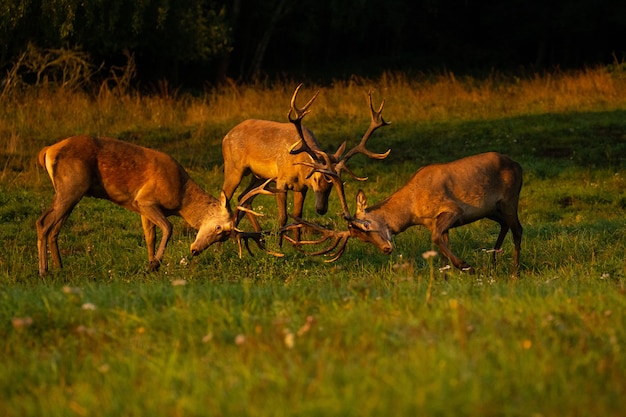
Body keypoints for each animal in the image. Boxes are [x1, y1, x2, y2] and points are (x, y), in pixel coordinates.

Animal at [36, 135, 270, 274]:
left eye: (224, 236)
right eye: (219, 228)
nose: (195, 250)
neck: (180, 198)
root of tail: (47, 150)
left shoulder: (141, 208)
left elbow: (150, 236)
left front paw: (150, 263)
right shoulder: (145, 199)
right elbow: (168, 227)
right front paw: (155, 264)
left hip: (71, 192)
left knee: (52, 226)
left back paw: (59, 267)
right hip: (72, 186)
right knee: (43, 222)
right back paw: (44, 271)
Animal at [218, 83, 386, 244]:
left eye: (333, 185)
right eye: (316, 178)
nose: (321, 209)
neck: (298, 167)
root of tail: (226, 136)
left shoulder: (301, 187)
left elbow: (298, 215)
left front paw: (297, 245)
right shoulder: (281, 180)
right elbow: (283, 216)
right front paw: (279, 245)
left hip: (259, 176)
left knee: (243, 197)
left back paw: (254, 237)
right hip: (234, 167)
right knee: (226, 196)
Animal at [284, 151, 520, 274]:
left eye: (366, 225)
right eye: (363, 239)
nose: (386, 249)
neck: (413, 210)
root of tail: (518, 165)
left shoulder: (454, 209)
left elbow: (436, 238)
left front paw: (466, 266)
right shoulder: (436, 223)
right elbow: (442, 244)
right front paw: (450, 272)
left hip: (510, 198)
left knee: (518, 228)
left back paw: (515, 270)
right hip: (492, 209)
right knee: (506, 225)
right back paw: (494, 259)